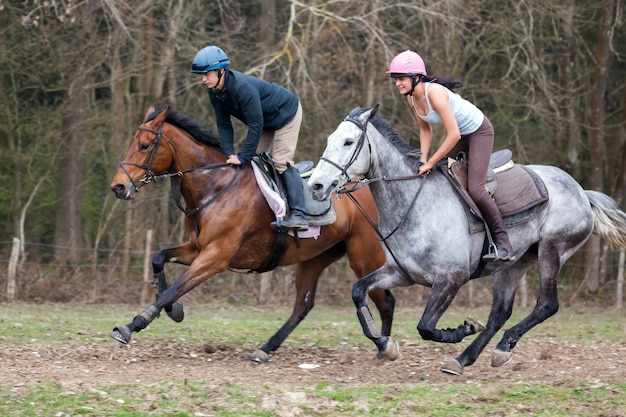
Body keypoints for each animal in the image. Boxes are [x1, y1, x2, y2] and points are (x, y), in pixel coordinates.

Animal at [109, 106, 394, 360]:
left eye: (145, 145)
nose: (118, 187)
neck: (216, 186)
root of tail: (368, 185)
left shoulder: (215, 257)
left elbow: (175, 289)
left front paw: (132, 325)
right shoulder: (197, 249)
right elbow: (158, 259)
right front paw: (173, 310)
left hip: (363, 257)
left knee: (385, 300)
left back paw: (384, 347)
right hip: (316, 257)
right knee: (303, 304)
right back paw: (266, 349)